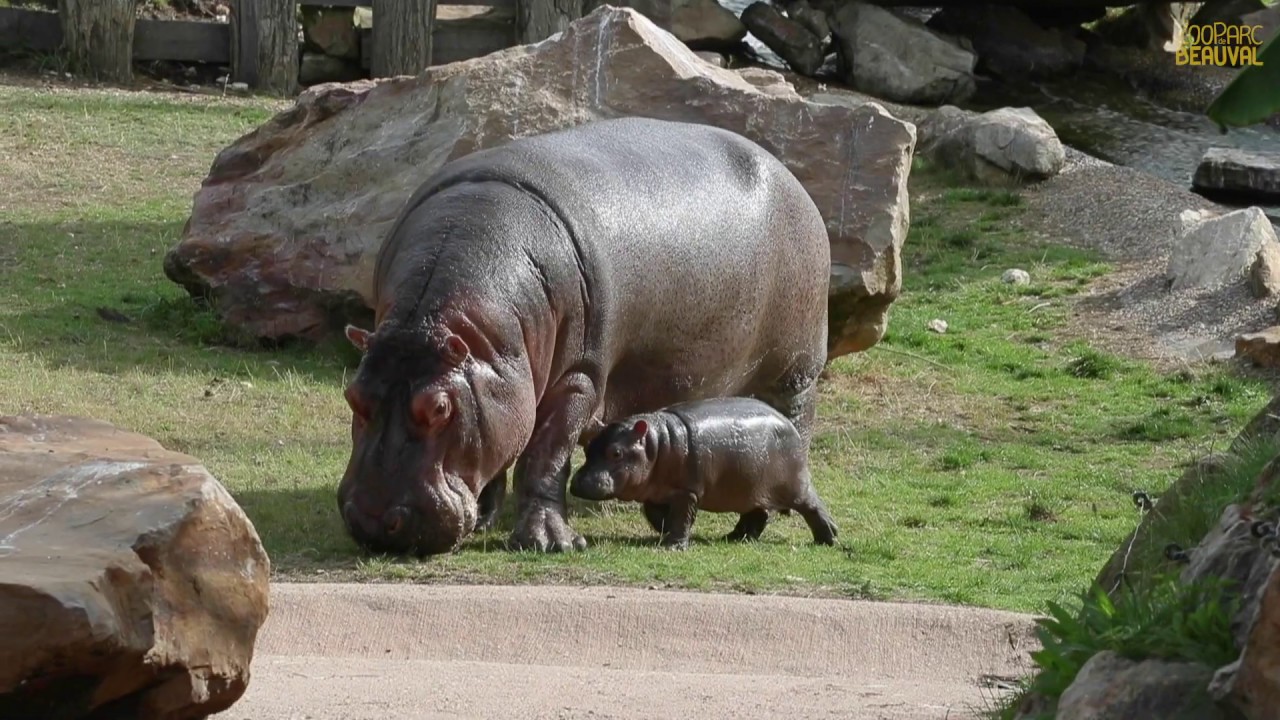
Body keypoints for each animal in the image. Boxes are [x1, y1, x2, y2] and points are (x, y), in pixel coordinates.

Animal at [569, 397, 839, 549]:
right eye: (589, 447)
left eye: (616, 453)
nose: (577, 482)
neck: (656, 443)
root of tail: (789, 423)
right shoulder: (655, 493)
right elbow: (655, 515)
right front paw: (665, 533)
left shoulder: (687, 491)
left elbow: (681, 517)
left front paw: (673, 545)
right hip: (751, 489)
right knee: (757, 514)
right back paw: (735, 537)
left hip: (795, 484)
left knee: (813, 505)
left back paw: (829, 538)